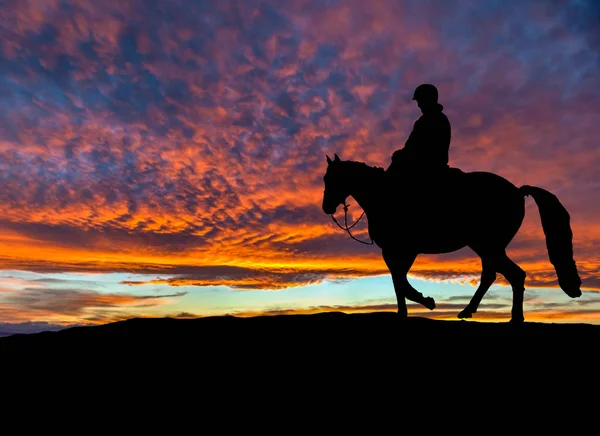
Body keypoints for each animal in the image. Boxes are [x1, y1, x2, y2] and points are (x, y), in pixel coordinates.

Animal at [324, 154, 580, 324]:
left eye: (332, 178)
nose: (326, 207)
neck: (383, 195)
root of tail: (517, 190)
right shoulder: (397, 250)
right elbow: (398, 281)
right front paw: (404, 312)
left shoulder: (401, 249)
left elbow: (400, 280)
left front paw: (426, 301)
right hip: (488, 246)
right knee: (493, 275)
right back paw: (469, 311)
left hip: (488, 244)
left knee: (514, 274)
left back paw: (514, 318)